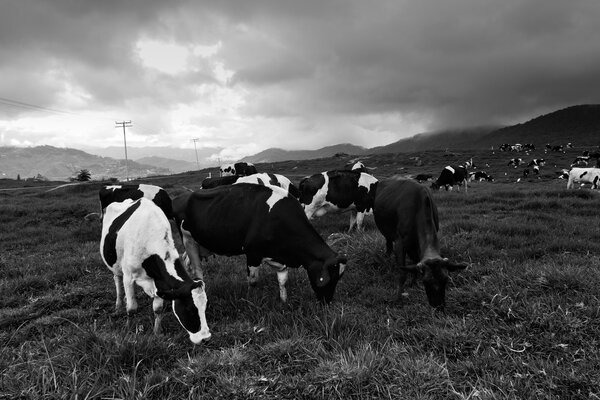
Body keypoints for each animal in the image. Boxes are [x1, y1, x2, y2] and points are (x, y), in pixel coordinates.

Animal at [99, 198, 210, 346]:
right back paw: (118, 305)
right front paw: (128, 329)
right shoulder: (128, 276)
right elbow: (132, 308)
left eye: (205, 307)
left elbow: (158, 308)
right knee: (117, 280)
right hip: (116, 266)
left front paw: (157, 332)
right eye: (190, 309)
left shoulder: (160, 282)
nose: (206, 338)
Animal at [173, 184, 346, 304]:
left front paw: (284, 301)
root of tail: (185, 195)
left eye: (339, 279)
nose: (327, 302)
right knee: (198, 270)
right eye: (329, 279)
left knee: (187, 262)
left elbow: (283, 279)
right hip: (188, 239)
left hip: (201, 244)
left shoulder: (280, 256)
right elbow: (253, 281)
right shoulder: (253, 253)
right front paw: (251, 300)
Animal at [372, 179, 466, 310]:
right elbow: (402, 273)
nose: (438, 306)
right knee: (388, 244)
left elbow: (415, 262)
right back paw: (386, 259)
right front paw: (398, 299)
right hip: (385, 231)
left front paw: (414, 282)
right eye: (426, 282)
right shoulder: (400, 243)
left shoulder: (416, 245)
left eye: (445, 280)